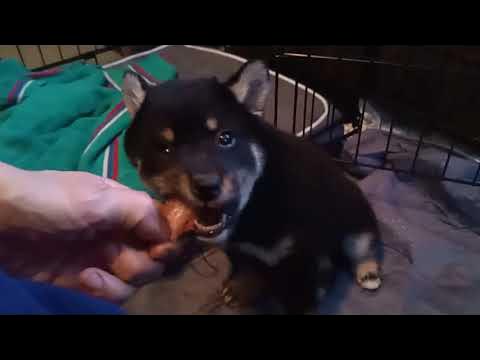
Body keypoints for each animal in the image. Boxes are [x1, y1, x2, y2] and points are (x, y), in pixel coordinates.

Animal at [122, 62, 380, 316]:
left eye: (225, 138)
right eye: (164, 149)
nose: (206, 187)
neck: (255, 201)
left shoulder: (303, 258)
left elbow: (301, 298)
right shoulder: (239, 249)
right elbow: (247, 268)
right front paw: (242, 288)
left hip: (354, 220)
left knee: (364, 246)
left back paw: (367, 272)